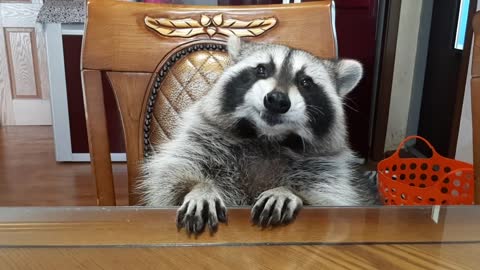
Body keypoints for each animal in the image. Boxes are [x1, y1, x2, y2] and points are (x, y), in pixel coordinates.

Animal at [139, 35, 378, 234]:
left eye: (305, 82)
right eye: (262, 70)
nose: (277, 100)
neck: (266, 138)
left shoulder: (326, 174)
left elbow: (327, 198)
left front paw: (287, 191)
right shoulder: (201, 142)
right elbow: (168, 186)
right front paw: (201, 188)